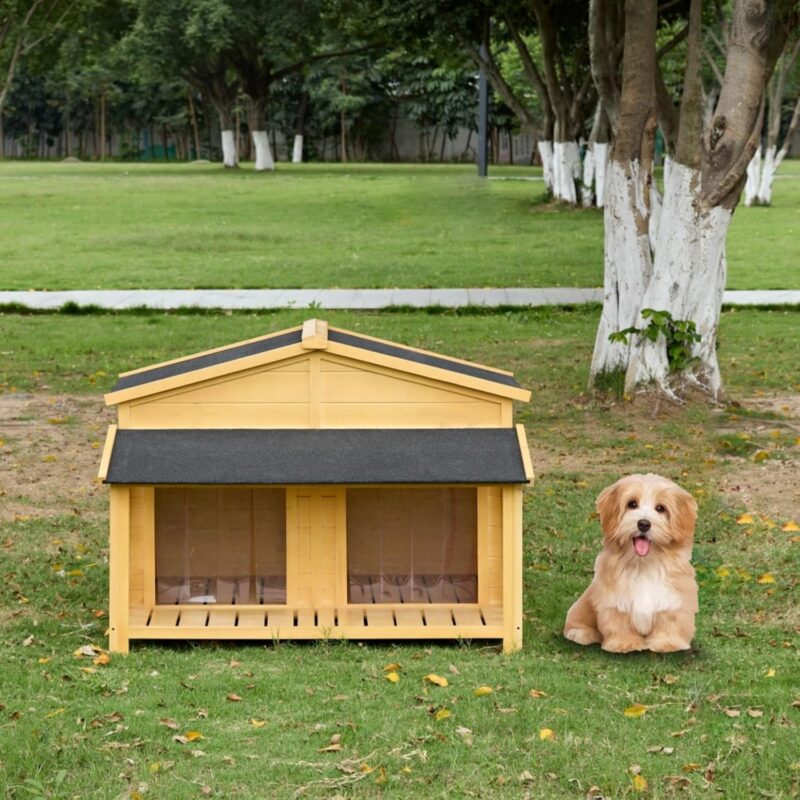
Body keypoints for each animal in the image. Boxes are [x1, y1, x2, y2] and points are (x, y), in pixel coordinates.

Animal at [564, 476, 700, 648]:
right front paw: (624, 643)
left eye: (660, 508)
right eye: (632, 504)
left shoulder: (672, 598)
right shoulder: (615, 599)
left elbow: (669, 620)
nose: (644, 524)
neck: (644, 563)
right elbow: (618, 621)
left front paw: (667, 643)